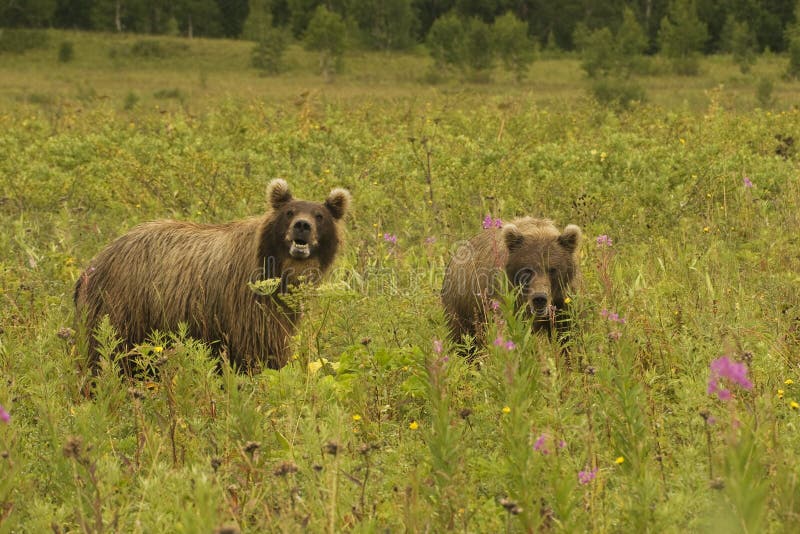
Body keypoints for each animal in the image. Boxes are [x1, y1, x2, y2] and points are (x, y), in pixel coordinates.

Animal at [75, 179, 350, 372]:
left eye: (319, 215)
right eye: (290, 212)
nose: (302, 226)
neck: (280, 269)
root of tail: (96, 260)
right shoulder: (246, 302)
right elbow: (259, 346)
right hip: (125, 306)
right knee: (110, 353)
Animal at [444, 218, 580, 348]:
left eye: (552, 269)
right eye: (527, 270)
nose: (539, 298)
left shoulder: (564, 302)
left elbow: (568, 335)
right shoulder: (507, 298)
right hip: (461, 309)